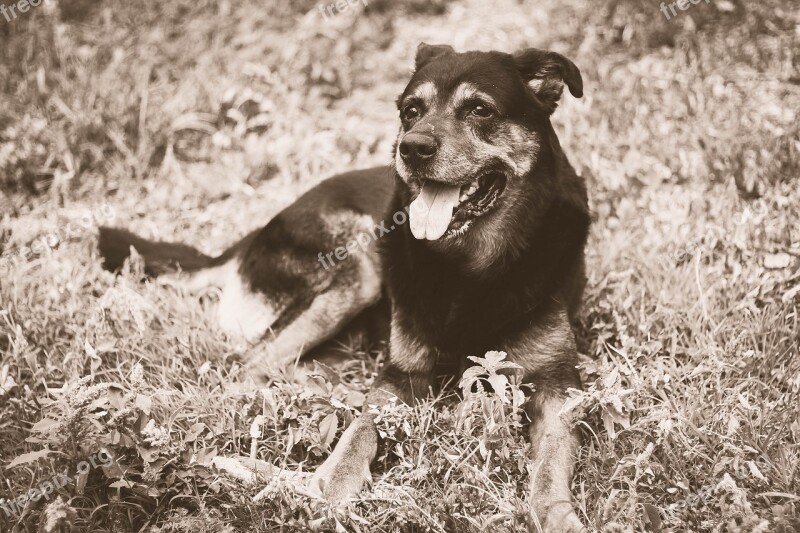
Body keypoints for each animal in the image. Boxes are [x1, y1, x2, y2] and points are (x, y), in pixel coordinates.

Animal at [98, 42, 588, 532]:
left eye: (480, 110)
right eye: (411, 111)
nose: (412, 148)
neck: (471, 269)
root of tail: (251, 237)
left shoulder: (558, 387)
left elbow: (550, 466)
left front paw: (559, 517)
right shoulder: (401, 375)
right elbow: (361, 429)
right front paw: (333, 483)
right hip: (359, 265)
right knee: (251, 365)